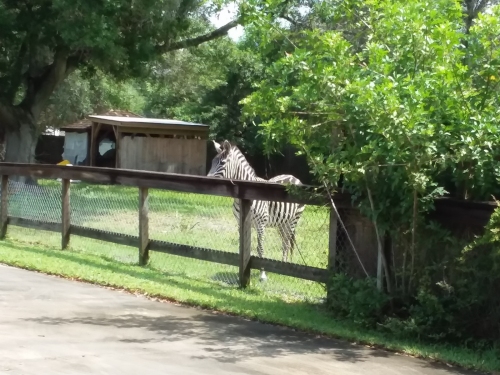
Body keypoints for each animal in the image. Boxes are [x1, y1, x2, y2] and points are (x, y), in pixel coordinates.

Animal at [207, 140, 304, 282]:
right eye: (212, 162)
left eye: (222, 163)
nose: (206, 179)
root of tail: (292, 176)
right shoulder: (240, 223)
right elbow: (243, 247)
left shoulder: (260, 224)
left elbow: (260, 248)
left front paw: (262, 275)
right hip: (281, 223)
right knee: (284, 242)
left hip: (294, 220)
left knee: (287, 242)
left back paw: (284, 268)